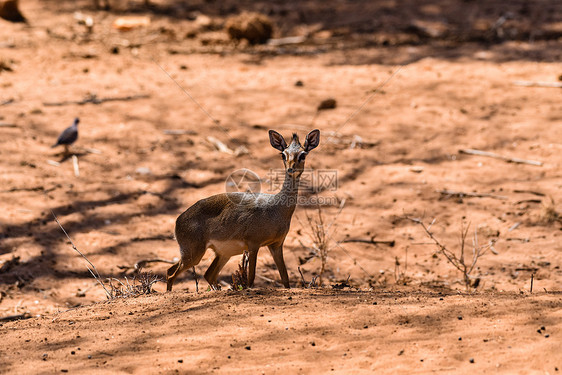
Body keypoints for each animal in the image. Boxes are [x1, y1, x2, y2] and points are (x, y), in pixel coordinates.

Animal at [164, 129, 318, 290]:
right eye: (283, 154)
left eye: (303, 154)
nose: (290, 169)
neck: (277, 209)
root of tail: (178, 221)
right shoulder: (254, 245)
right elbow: (251, 279)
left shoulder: (276, 245)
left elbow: (286, 279)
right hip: (193, 254)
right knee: (171, 273)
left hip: (222, 254)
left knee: (207, 274)